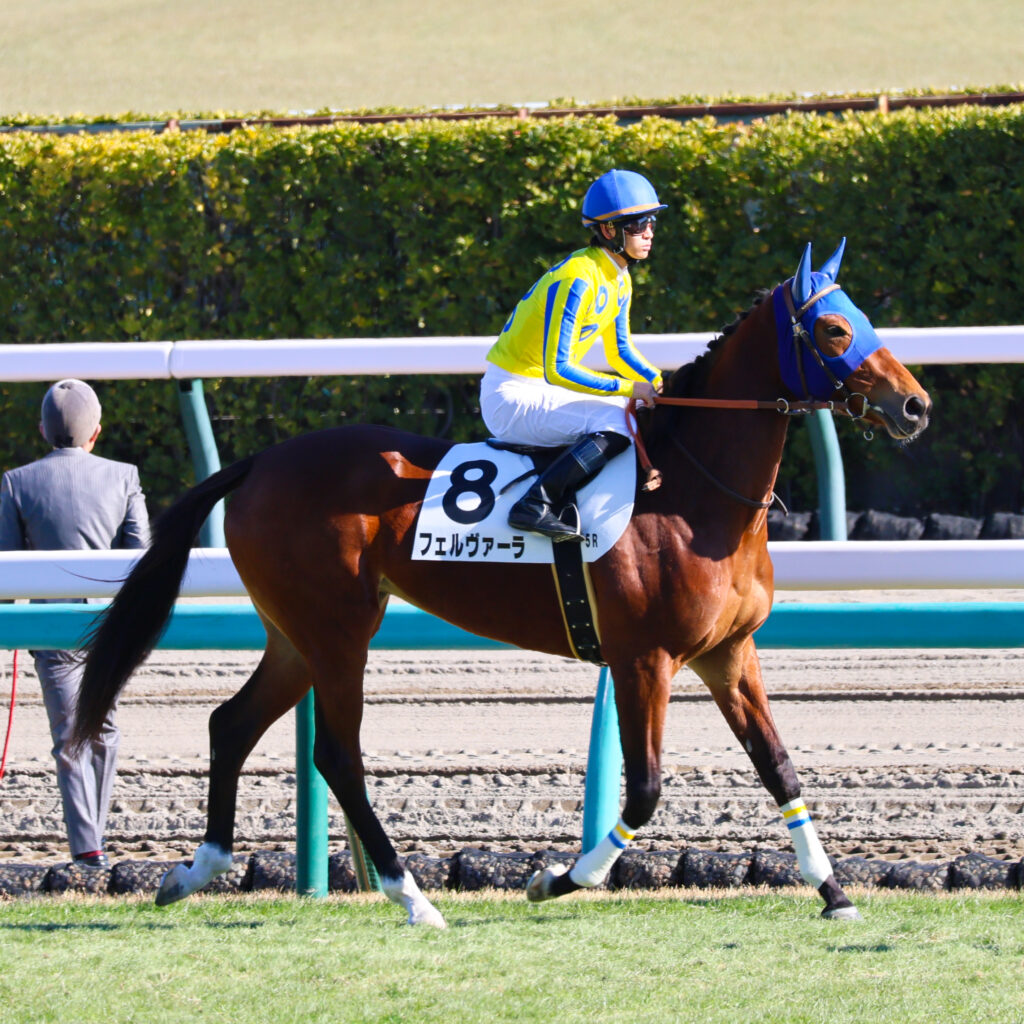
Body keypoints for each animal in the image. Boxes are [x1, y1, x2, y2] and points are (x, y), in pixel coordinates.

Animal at [72, 240, 930, 927]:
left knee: (230, 723)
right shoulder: (643, 659)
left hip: (295, 633)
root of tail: (257, 463)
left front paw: (835, 894)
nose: (915, 406)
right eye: (834, 329)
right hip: (338, 632)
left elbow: (779, 766)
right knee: (338, 755)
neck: (694, 492)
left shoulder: (730, 654)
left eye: (861, 317)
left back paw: (197, 870)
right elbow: (645, 790)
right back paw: (411, 896)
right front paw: (556, 878)